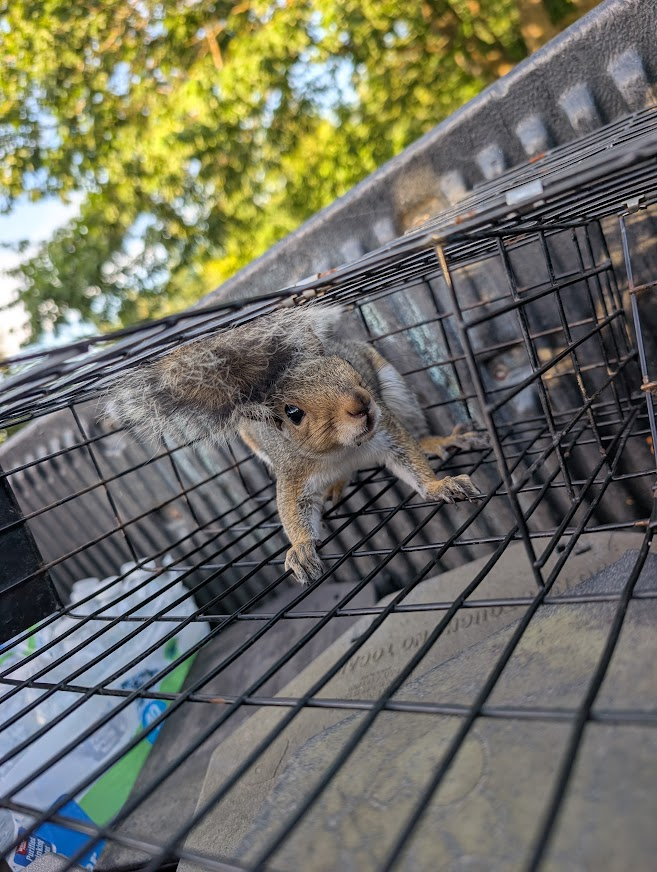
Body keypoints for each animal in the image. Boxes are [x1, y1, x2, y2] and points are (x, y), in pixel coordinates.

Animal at [106, 305, 487, 585]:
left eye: (343, 364)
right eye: (292, 413)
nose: (362, 403)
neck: (340, 451)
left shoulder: (387, 432)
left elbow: (411, 458)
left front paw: (439, 485)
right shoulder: (293, 475)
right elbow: (293, 512)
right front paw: (302, 549)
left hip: (393, 386)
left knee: (416, 429)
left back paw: (440, 439)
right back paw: (336, 485)